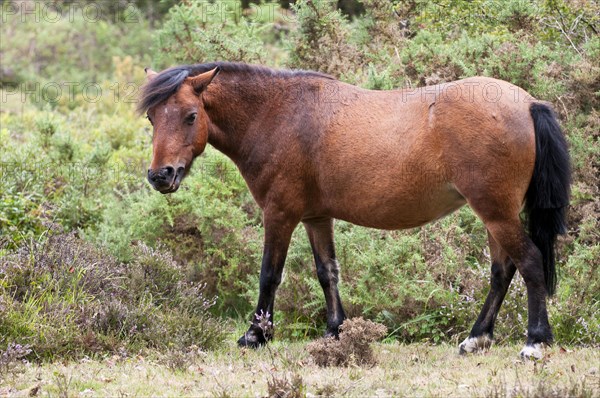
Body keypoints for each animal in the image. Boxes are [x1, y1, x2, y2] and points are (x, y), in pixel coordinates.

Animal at [137, 60, 572, 360]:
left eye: (191, 115)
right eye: (152, 117)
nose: (161, 175)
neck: (278, 114)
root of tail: (528, 103)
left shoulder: (279, 214)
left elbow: (269, 275)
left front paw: (255, 335)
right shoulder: (316, 217)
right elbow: (327, 272)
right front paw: (335, 332)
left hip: (495, 212)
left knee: (529, 261)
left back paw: (535, 342)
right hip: (494, 215)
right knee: (501, 272)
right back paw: (476, 338)